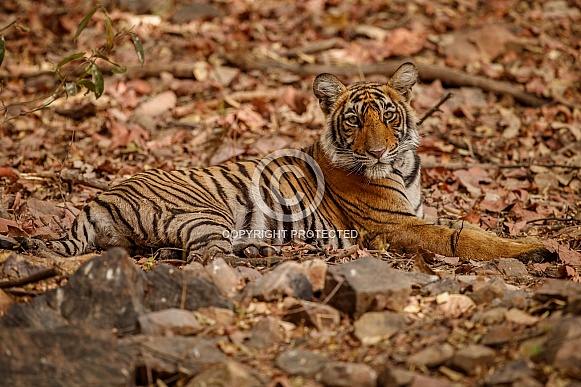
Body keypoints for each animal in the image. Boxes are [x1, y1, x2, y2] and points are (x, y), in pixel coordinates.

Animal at [46, 63, 552, 264]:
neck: (402, 167)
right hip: (203, 213)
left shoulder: (415, 213)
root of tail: (98, 198)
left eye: (388, 115)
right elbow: (466, 239)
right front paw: (535, 248)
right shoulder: (397, 225)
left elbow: (470, 227)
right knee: (201, 257)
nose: (377, 152)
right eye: (354, 120)